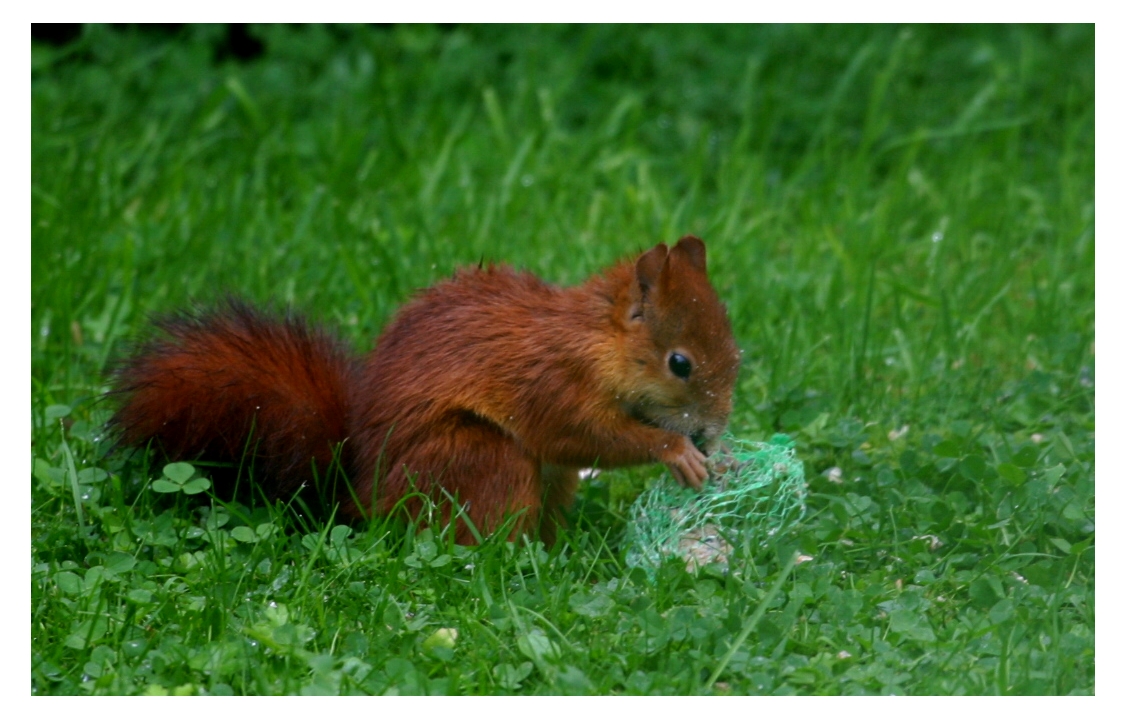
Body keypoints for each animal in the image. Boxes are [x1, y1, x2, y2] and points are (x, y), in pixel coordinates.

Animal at [105, 236, 738, 544]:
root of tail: (361, 499)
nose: (712, 430)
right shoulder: (550, 382)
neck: (593, 341)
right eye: (680, 363)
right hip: (476, 459)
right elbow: (578, 435)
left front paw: (721, 456)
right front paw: (675, 451)